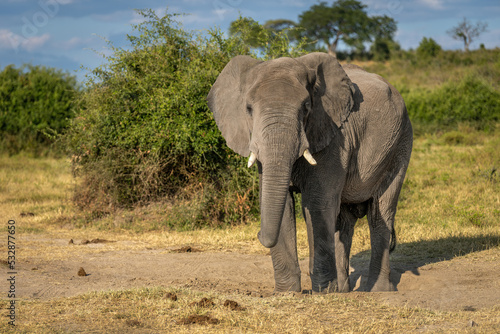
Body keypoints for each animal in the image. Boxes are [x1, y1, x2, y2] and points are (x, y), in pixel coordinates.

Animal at [205, 52, 412, 292]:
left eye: (306, 106)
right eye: (248, 108)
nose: (258, 234)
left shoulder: (333, 137)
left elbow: (317, 204)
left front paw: (322, 292)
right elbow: (282, 203)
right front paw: (288, 293)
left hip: (400, 143)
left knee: (381, 213)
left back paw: (377, 290)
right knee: (344, 221)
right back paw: (343, 290)